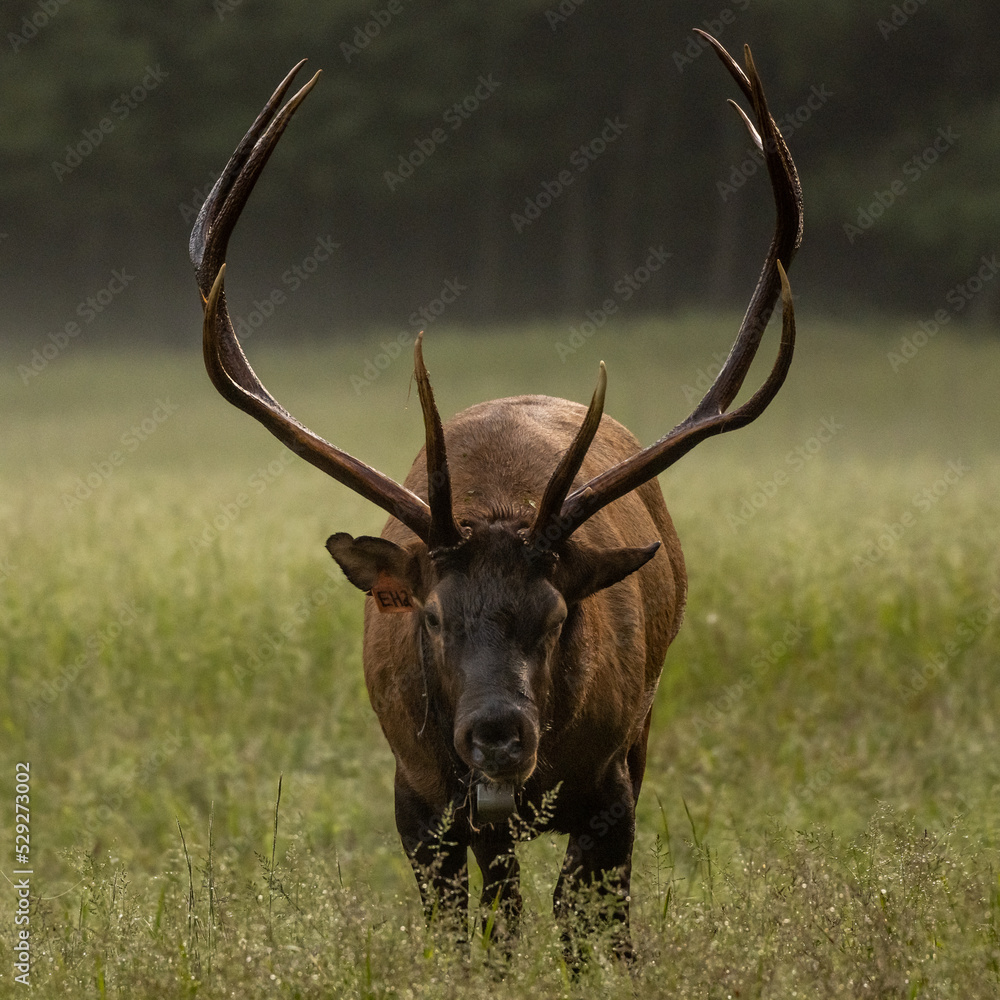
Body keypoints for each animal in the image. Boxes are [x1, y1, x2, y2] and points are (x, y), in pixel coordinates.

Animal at [193, 33, 804, 960]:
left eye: (555, 617)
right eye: (433, 616)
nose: (498, 735)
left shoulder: (610, 782)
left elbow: (588, 924)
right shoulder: (416, 797)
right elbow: (468, 931)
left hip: (643, 728)